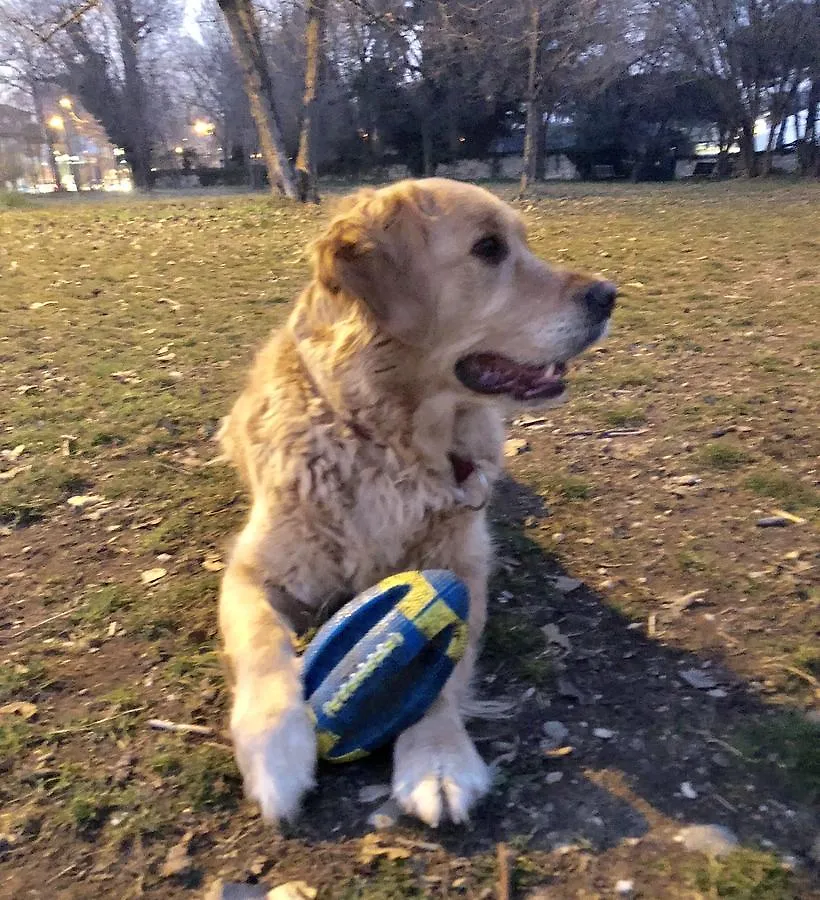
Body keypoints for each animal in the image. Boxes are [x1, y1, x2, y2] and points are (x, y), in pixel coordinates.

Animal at [218, 179, 616, 828]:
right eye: (489, 249)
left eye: (523, 242)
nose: (609, 295)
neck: (389, 441)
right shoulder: (252, 571)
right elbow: (261, 647)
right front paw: (277, 750)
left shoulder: (460, 567)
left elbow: (442, 668)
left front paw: (438, 760)